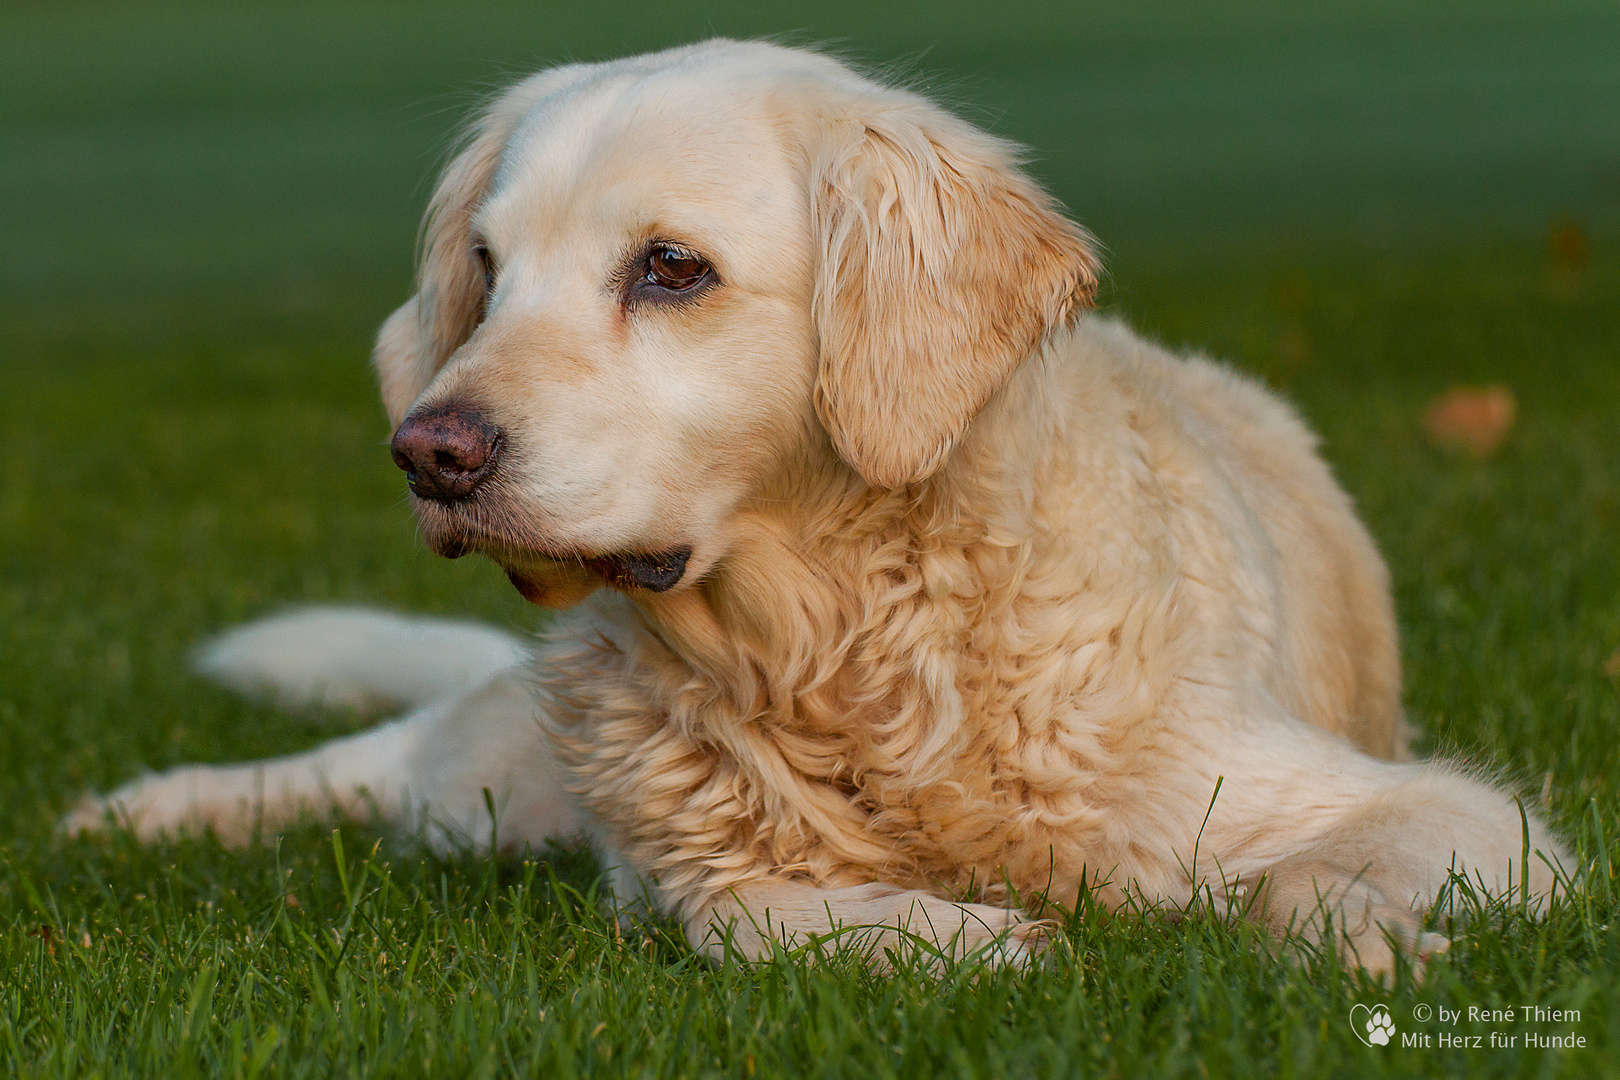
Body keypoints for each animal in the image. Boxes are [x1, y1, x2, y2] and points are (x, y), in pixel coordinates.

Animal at [66, 40, 1568, 971]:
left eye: (670, 268)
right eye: (486, 270)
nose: (428, 454)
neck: (842, 644)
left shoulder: (1452, 813)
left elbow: (1332, 868)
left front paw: (1357, 942)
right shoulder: (674, 874)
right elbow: (751, 914)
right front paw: (972, 942)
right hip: (497, 783)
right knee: (370, 760)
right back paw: (136, 812)